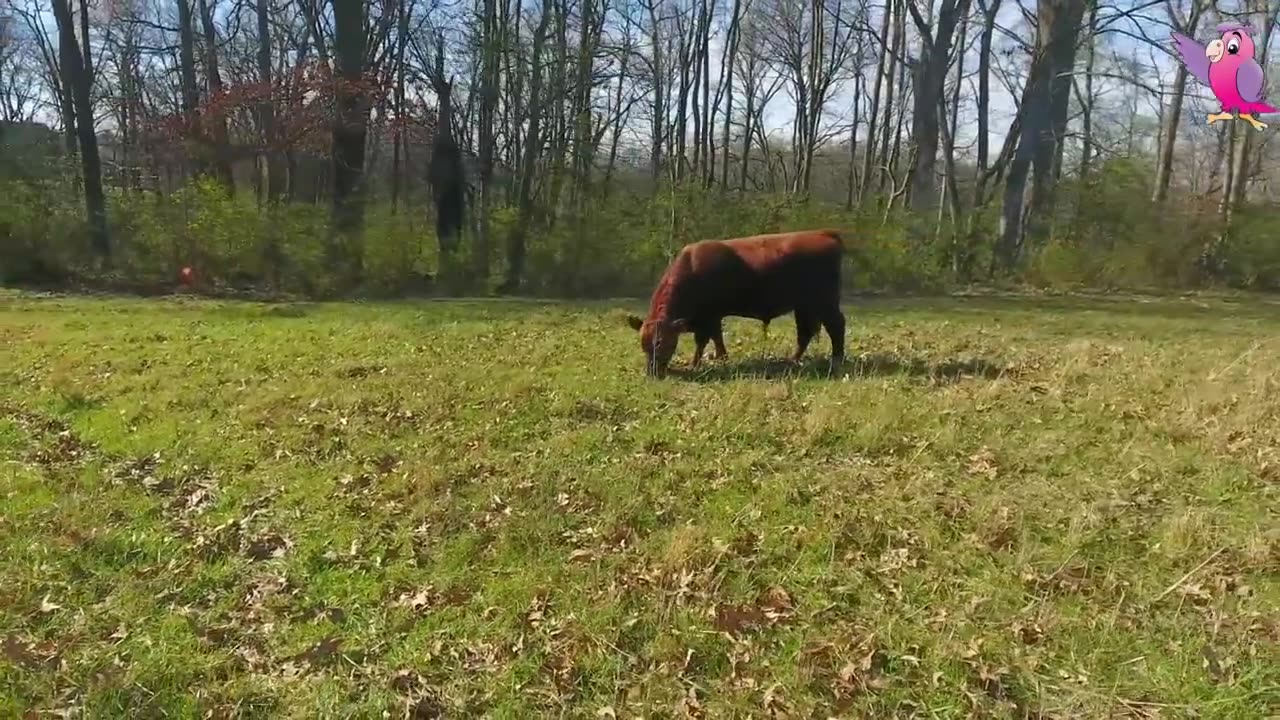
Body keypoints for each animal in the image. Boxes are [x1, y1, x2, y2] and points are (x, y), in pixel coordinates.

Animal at [624, 228, 844, 376]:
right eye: (644, 344)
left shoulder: (709, 317)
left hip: (825, 303)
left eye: (665, 343)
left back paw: (837, 359)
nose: (653, 372)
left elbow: (705, 340)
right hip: (804, 307)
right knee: (805, 333)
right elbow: (714, 339)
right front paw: (717, 359)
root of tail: (824, 233)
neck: (692, 270)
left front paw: (699, 363)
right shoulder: (707, 319)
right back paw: (792, 360)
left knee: (836, 326)